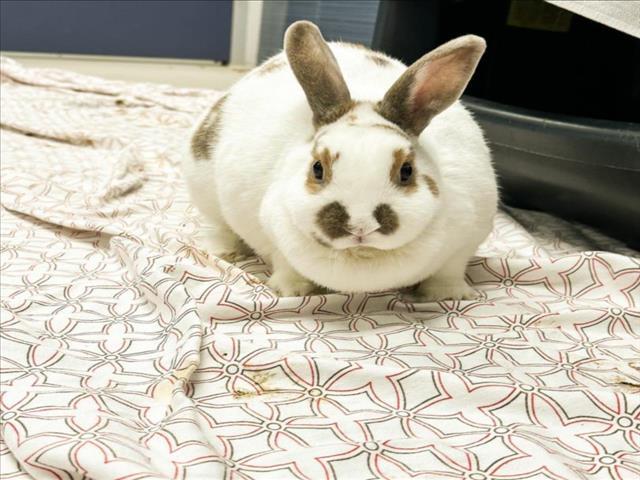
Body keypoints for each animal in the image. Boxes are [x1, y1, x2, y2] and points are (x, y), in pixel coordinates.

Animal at [182, 20, 498, 300]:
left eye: (407, 171)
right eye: (317, 169)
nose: (360, 226)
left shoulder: (467, 239)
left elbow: (449, 271)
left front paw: (447, 296)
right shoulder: (275, 236)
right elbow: (286, 265)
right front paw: (292, 291)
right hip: (205, 191)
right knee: (221, 226)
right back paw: (225, 250)